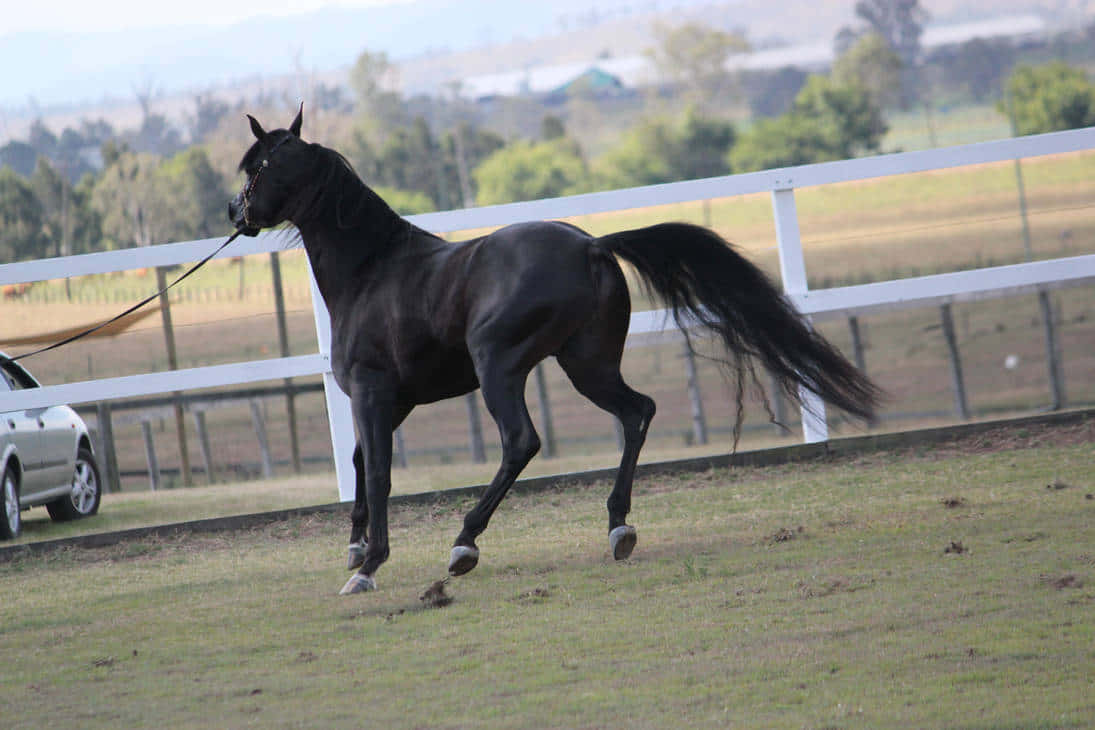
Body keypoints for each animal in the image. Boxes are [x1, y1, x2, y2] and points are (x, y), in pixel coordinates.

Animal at [228, 107, 882, 595]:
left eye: (257, 165)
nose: (235, 212)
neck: (374, 271)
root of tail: (590, 245)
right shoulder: (393, 401)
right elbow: (362, 462)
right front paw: (355, 546)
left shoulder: (371, 392)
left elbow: (381, 471)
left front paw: (368, 566)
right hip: (586, 365)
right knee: (637, 412)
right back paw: (618, 528)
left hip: (500, 366)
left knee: (522, 441)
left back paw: (465, 544)